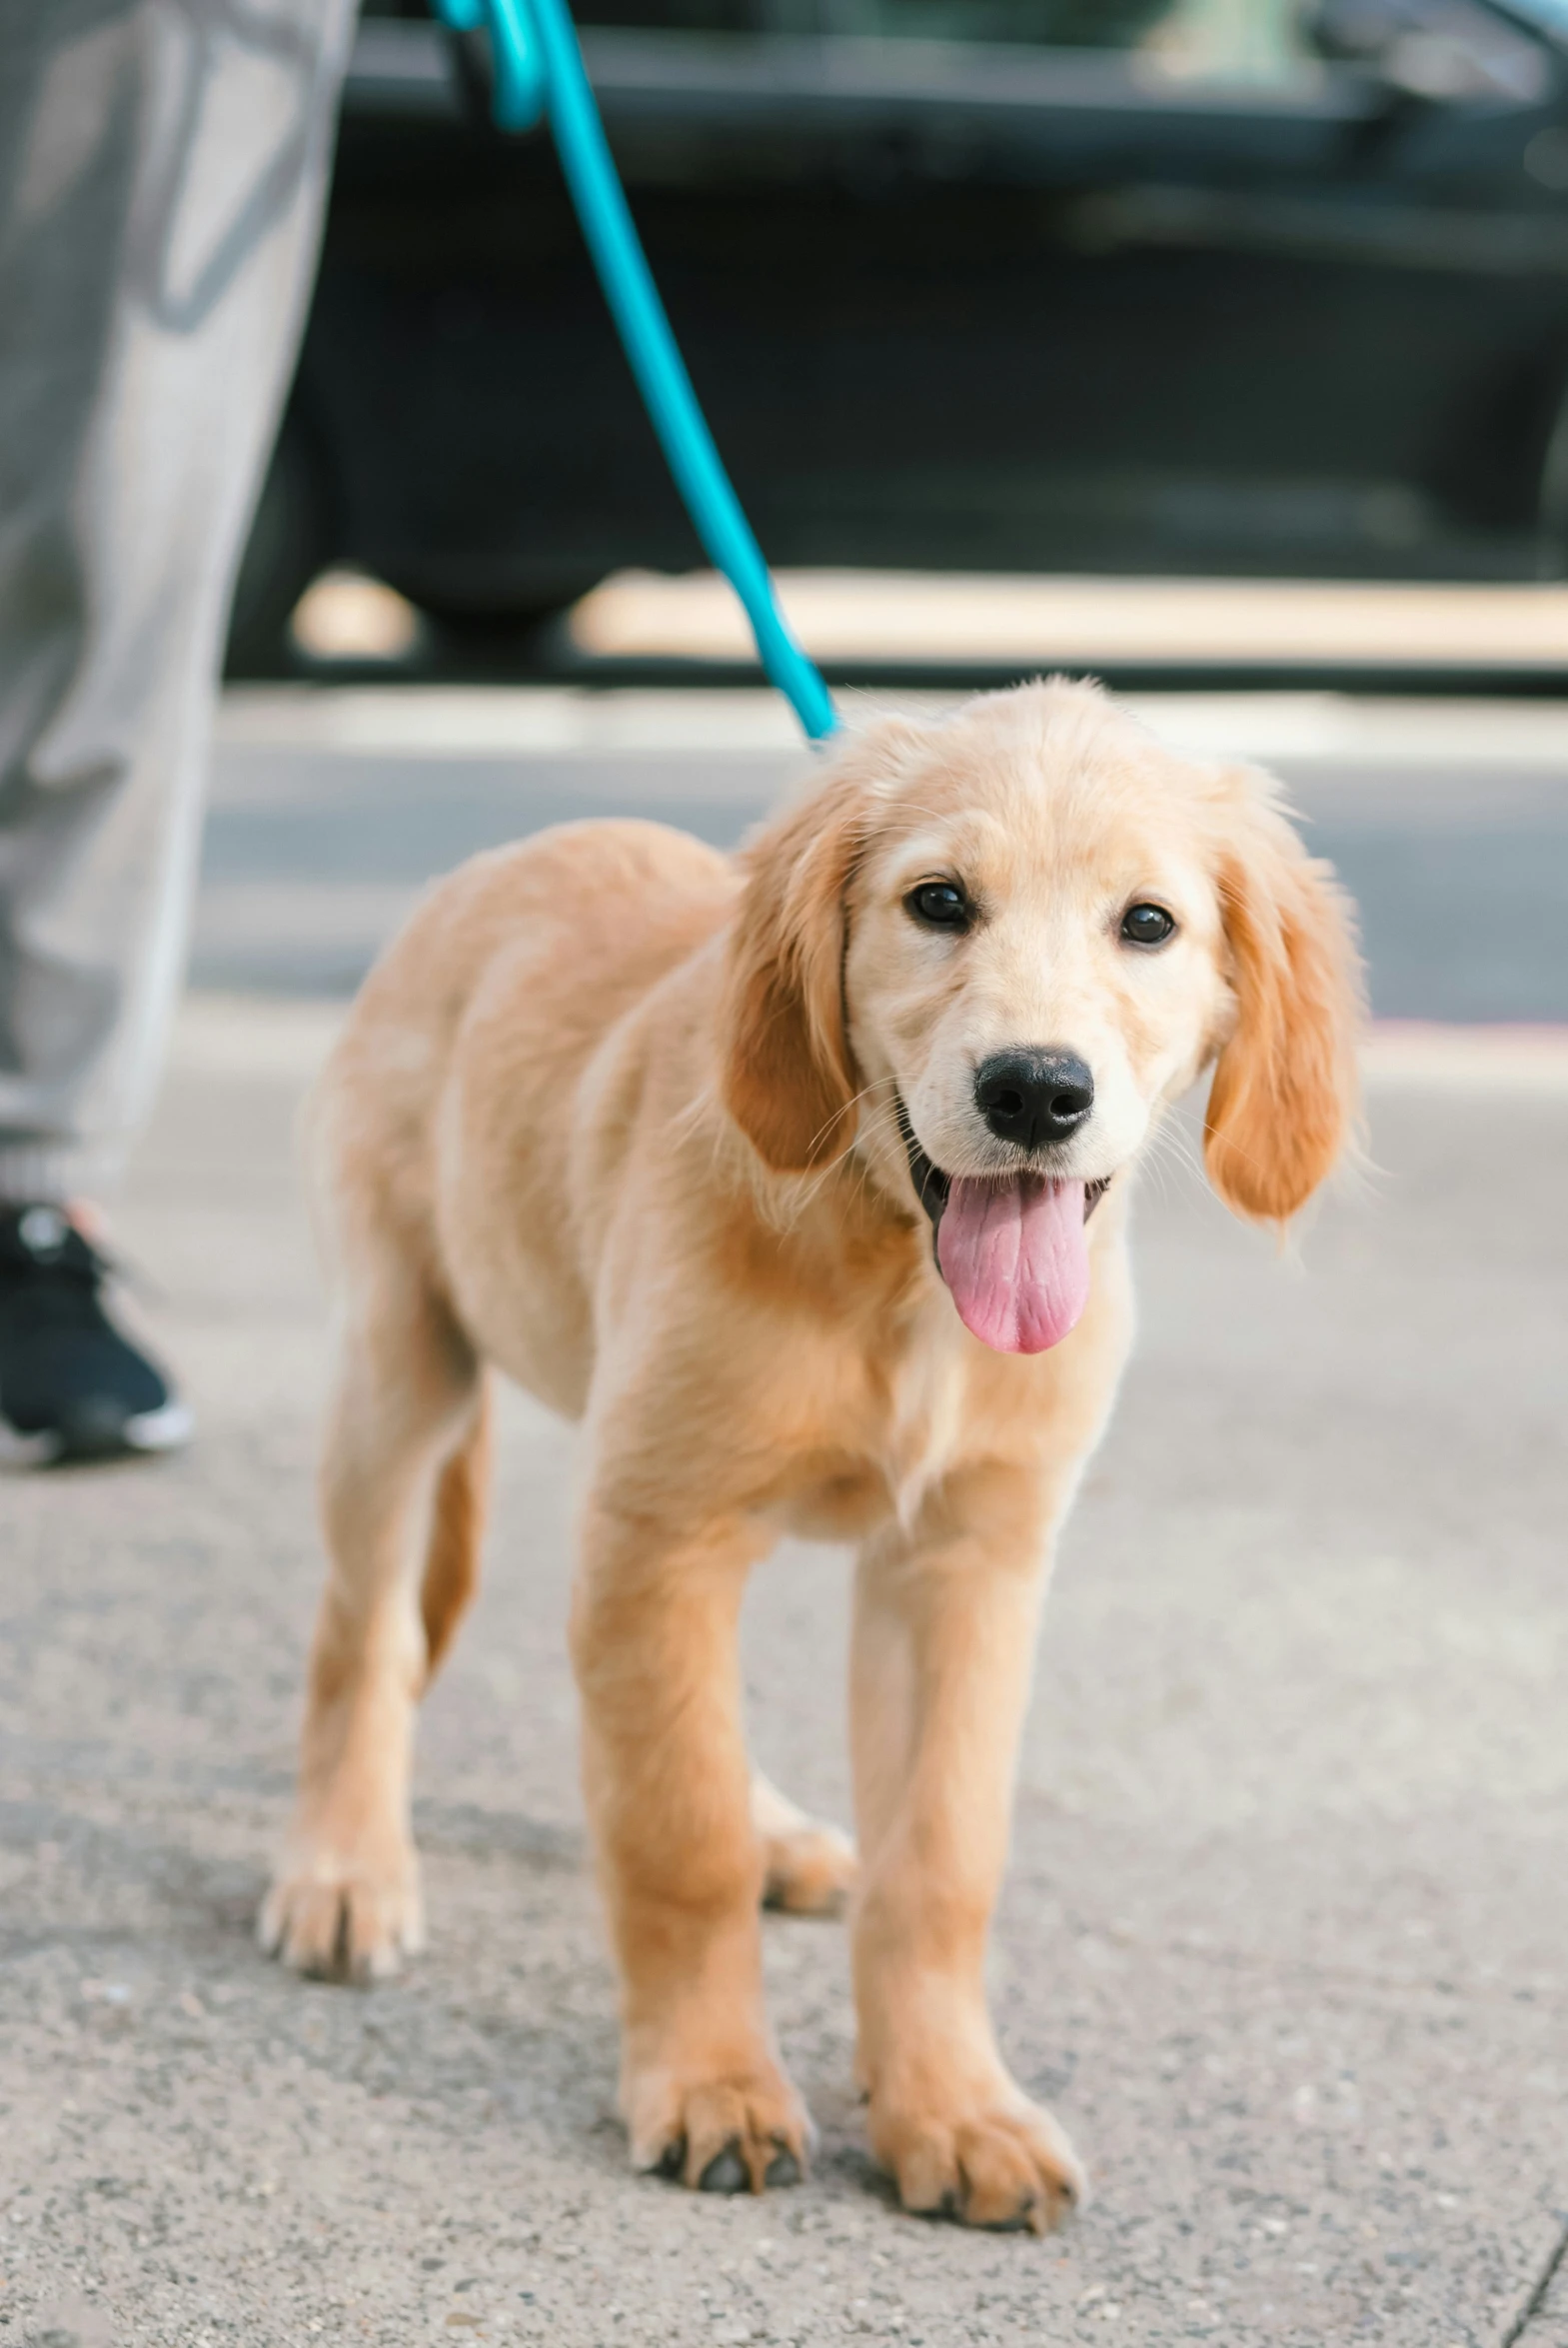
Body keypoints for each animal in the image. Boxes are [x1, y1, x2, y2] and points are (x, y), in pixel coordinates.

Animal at [260, 685, 1361, 2235]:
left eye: (1147, 924)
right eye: (939, 901)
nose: (1035, 1092)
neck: (896, 1274)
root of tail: (491, 864)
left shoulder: (962, 1566)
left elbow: (938, 1861)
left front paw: (950, 2108)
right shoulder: (658, 1529)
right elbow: (678, 1831)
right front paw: (710, 2082)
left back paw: (779, 1833)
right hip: (398, 1364)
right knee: (361, 1641)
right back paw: (344, 1869)